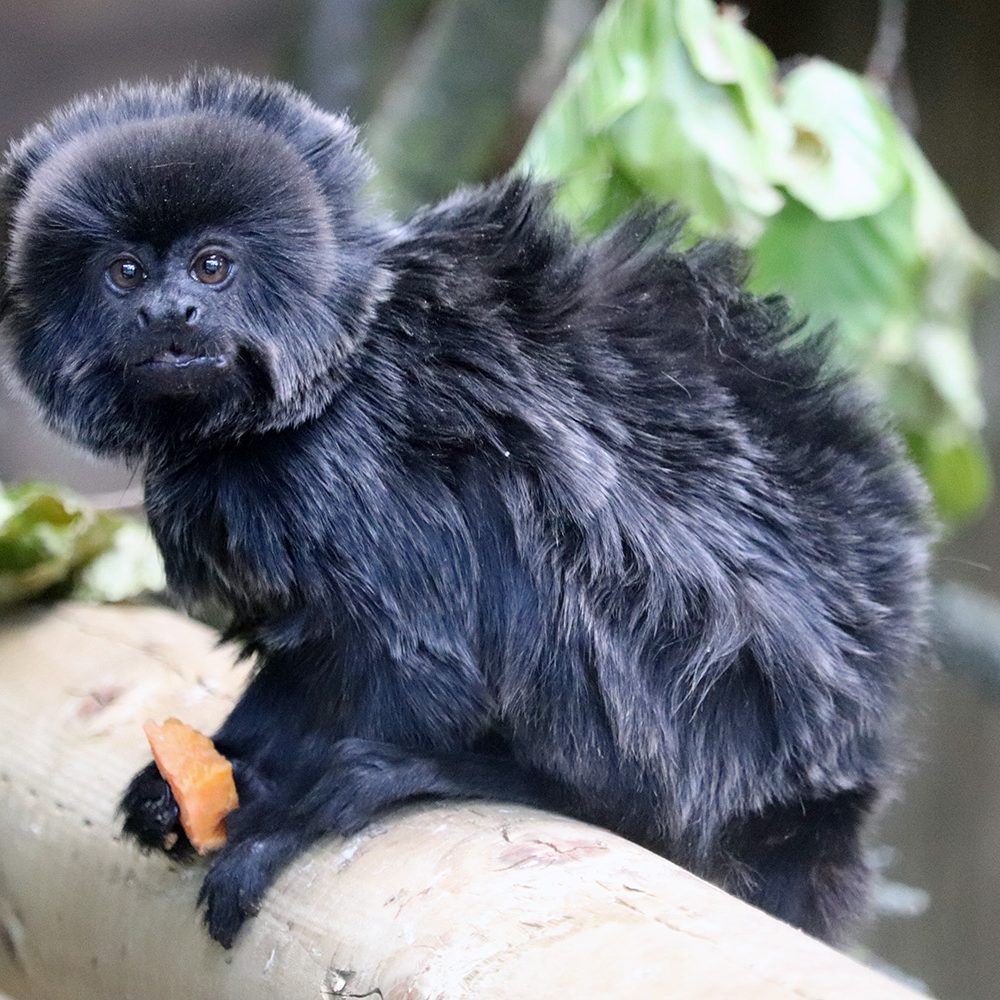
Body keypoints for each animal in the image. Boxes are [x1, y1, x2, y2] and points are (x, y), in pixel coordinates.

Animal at [0, 68, 928, 944]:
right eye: (125, 274)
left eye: (211, 267)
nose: (171, 312)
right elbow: (311, 652)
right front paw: (206, 768)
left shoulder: (341, 470)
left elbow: (422, 664)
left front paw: (282, 818)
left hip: (696, 710)